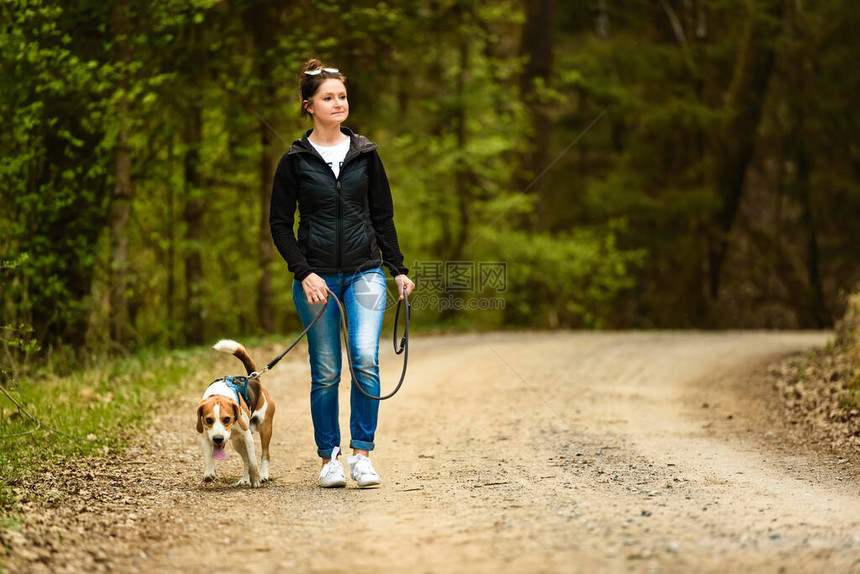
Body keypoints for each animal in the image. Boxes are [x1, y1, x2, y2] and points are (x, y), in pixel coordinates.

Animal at [197, 342, 276, 490]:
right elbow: (208, 456)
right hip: (237, 442)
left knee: (264, 455)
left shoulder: (247, 436)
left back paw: (263, 475)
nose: (218, 439)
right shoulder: (206, 436)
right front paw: (209, 473)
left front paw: (256, 478)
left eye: (227, 419)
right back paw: (245, 479)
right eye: (209, 420)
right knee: (245, 460)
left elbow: (253, 461)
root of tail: (255, 380)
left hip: (265, 429)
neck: (219, 394)